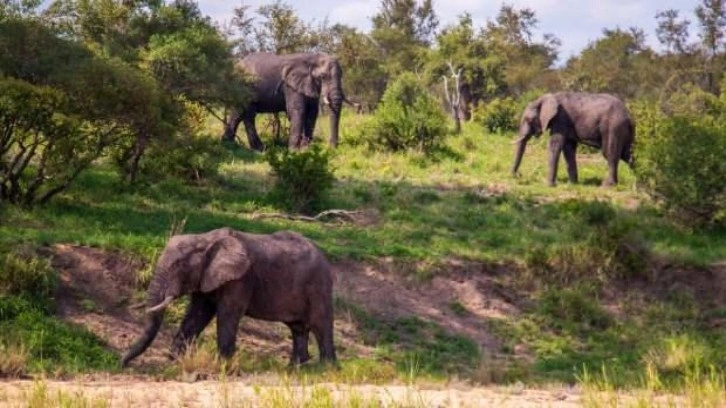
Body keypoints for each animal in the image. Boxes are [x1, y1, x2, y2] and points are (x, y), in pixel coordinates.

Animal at [121, 226, 338, 366]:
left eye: (178, 265)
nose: (122, 363)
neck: (204, 239)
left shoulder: (240, 278)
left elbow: (227, 314)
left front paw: (222, 365)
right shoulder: (206, 276)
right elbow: (197, 314)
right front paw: (174, 360)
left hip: (318, 285)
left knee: (320, 323)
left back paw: (326, 369)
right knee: (298, 328)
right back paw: (297, 368)